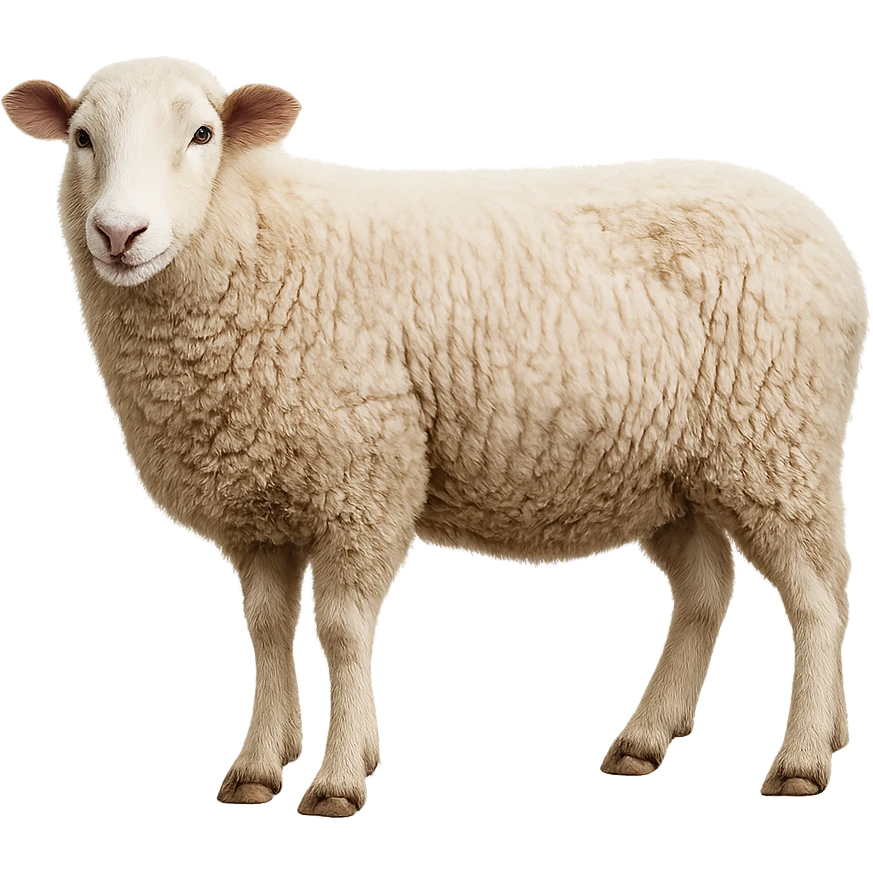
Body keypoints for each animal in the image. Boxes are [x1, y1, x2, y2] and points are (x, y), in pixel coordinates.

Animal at [2, 57, 866, 815]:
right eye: (81, 136)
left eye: (203, 133)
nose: (120, 233)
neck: (261, 233)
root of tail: (828, 231)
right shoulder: (262, 500)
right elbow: (266, 630)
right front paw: (257, 766)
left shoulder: (361, 474)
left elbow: (344, 629)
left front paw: (338, 779)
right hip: (676, 472)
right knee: (707, 591)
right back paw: (655, 741)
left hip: (772, 441)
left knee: (816, 600)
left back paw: (799, 760)